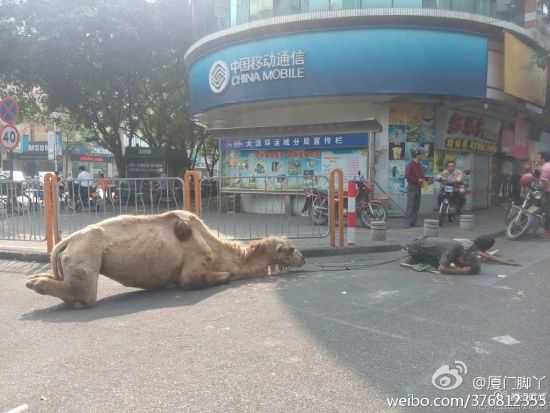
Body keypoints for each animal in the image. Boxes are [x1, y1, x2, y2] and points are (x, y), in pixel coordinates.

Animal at [25, 211, 306, 308]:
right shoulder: (197, 263)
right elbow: (215, 278)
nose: (303, 258)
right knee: (84, 296)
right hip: (87, 253)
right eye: (291, 249)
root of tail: (67, 241)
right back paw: (35, 284)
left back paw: (36, 278)